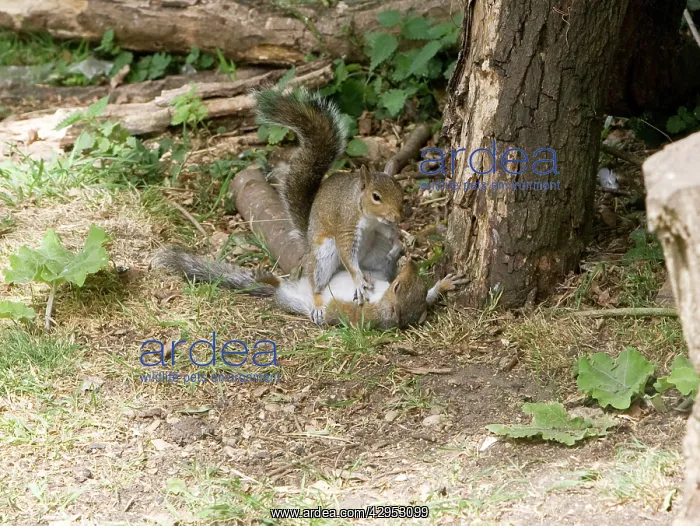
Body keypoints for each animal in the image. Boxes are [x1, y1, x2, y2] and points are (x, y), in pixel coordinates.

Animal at [154, 247, 466, 330]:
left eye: (399, 287)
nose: (412, 262)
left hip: (289, 299)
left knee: (279, 290)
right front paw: (445, 283)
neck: (381, 296)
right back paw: (266, 275)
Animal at [254, 88, 404, 325]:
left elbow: (390, 233)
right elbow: (347, 253)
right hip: (323, 254)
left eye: (401, 191)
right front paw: (358, 281)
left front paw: (398, 244)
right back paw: (320, 303)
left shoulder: (382, 225)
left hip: (376, 254)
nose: (399, 216)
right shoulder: (346, 224)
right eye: (376, 197)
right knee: (317, 284)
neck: (367, 215)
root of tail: (308, 242)